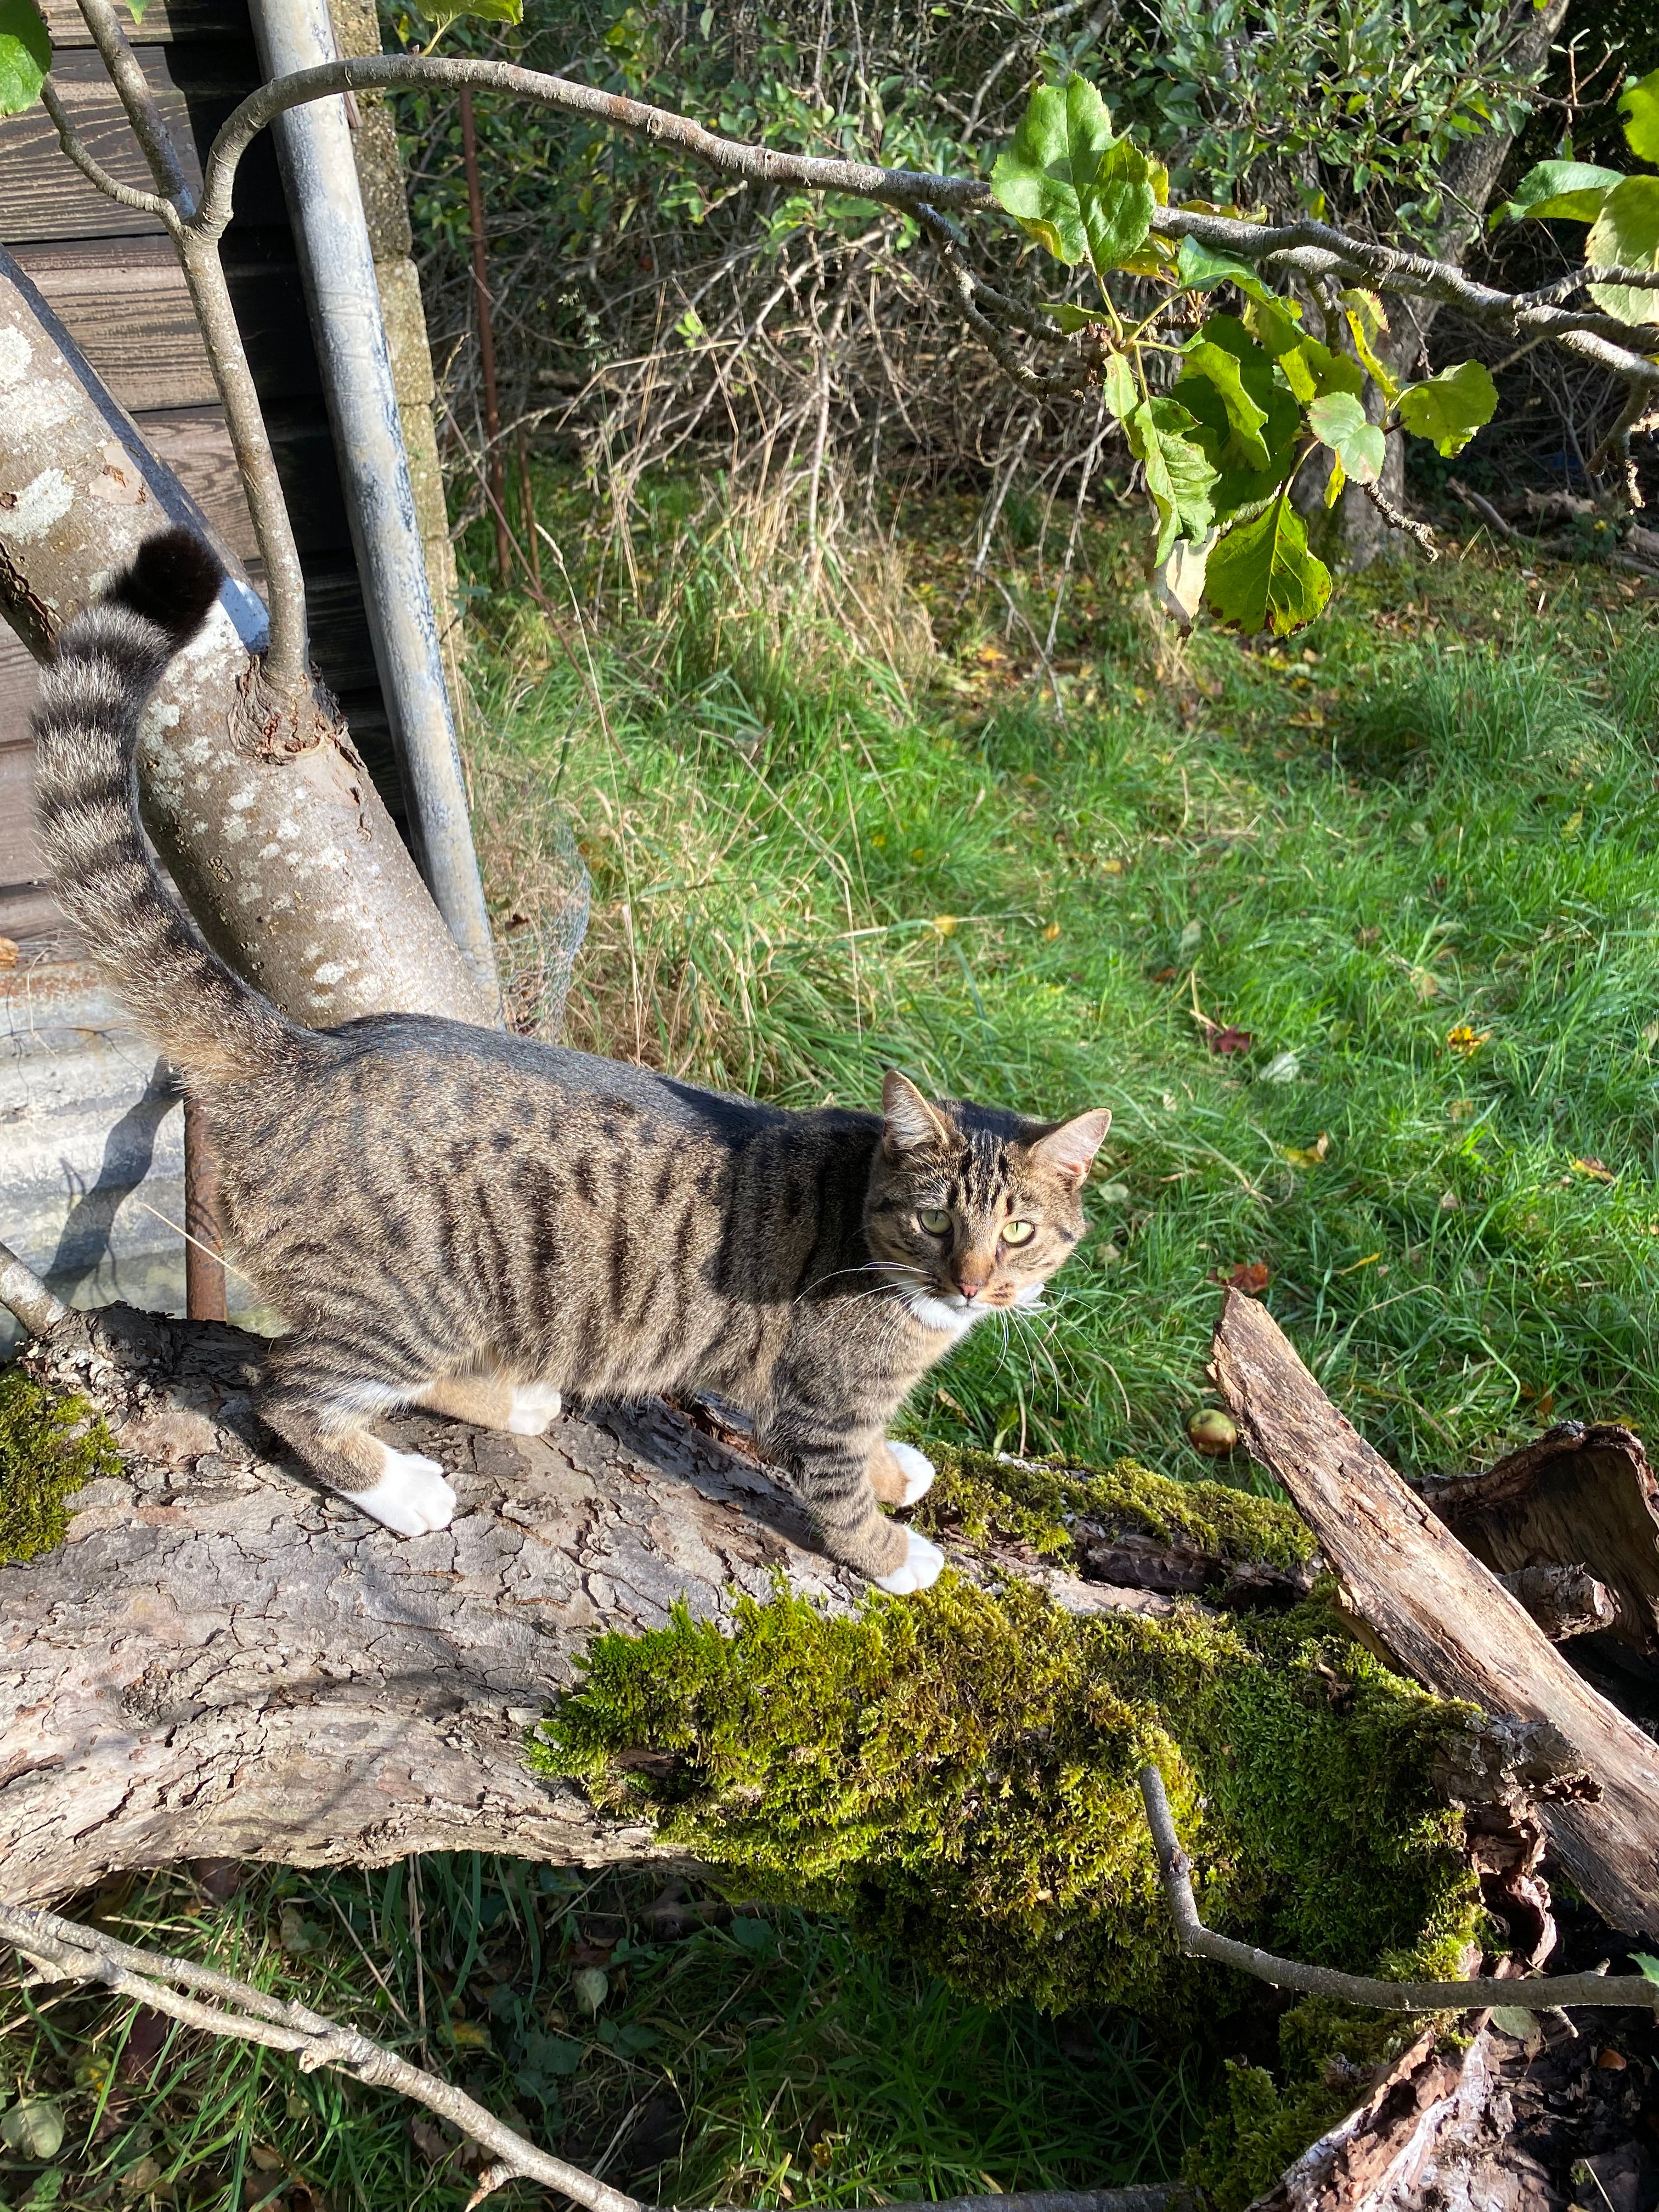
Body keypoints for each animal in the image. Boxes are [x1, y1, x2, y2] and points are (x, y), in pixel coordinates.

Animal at [31, 529, 1111, 1593]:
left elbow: (870, 1455)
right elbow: (840, 1494)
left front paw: (902, 1468)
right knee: (288, 1388)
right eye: (936, 1220)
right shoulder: (817, 1398)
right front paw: (898, 1555)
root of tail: (309, 1049)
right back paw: (401, 1488)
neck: (880, 1248)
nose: (973, 1283)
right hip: (409, 1296)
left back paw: (512, 1402)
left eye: (1017, 1231)